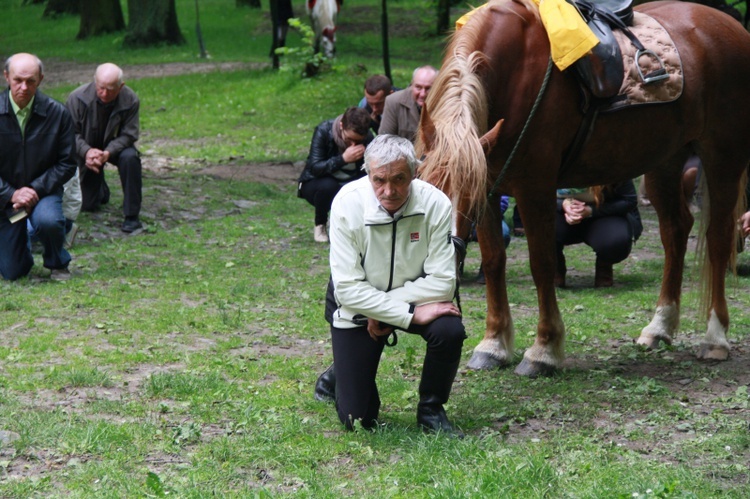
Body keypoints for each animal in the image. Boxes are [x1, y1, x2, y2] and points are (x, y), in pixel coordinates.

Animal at [420, 0, 750, 376]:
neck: (515, 73)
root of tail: (731, 26)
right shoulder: (491, 184)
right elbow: (492, 260)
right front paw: (493, 344)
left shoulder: (534, 186)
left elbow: (542, 263)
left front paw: (544, 350)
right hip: (665, 159)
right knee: (676, 231)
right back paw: (660, 327)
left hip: (723, 156)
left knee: (718, 238)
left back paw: (715, 337)